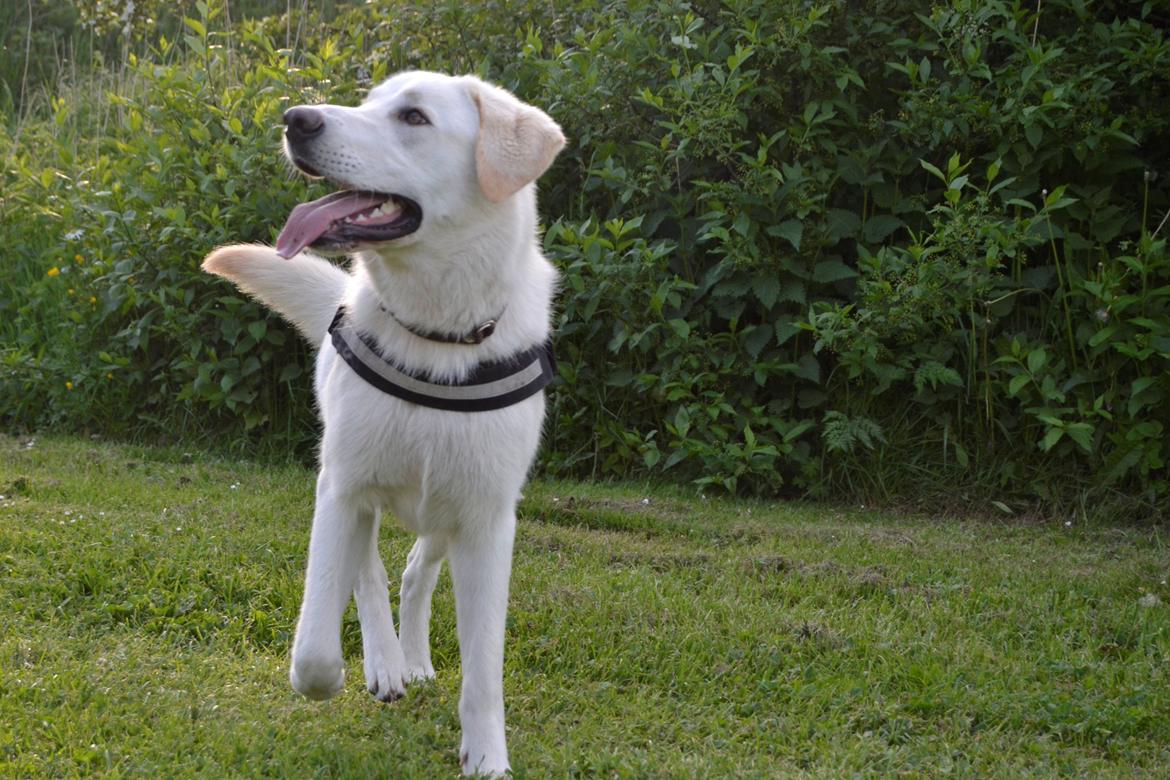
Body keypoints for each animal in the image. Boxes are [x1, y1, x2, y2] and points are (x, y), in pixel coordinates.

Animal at [202, 71, 566, 776]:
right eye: (367, 101)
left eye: (414, 117)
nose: (296, 119)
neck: (435, 336)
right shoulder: (341, 488)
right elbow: (315, 648)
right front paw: (346, 675)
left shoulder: (488, 522)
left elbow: (484, 668)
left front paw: (487, 755)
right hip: (354, 486)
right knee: (369, 571)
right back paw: (388, 664)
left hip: (447, 514)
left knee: (415, 573)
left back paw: (415, 659)